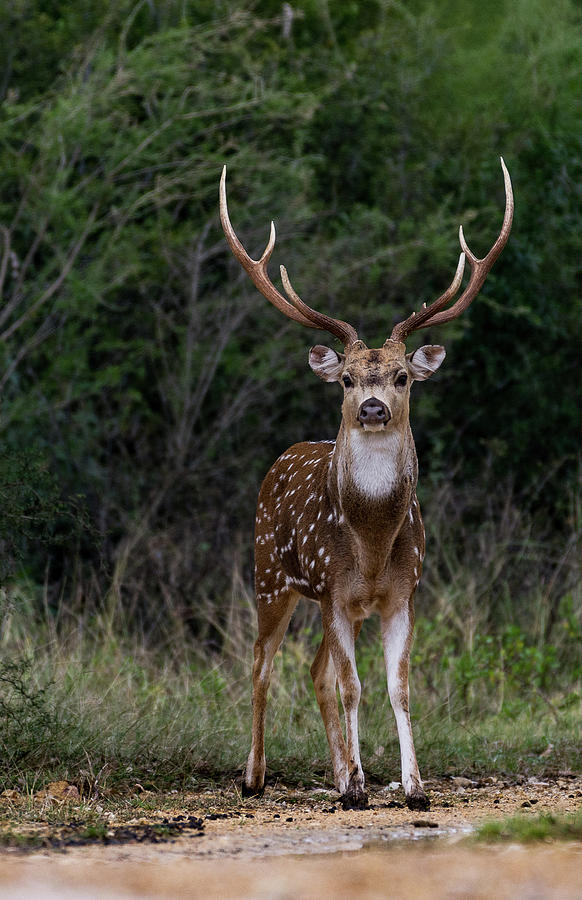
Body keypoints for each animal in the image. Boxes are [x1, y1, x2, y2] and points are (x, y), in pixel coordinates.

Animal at [220, 158, 516, 812]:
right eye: (348, 379)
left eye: (403, 375)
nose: (374, 408)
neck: (373, 543)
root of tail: (282, 458)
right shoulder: (334, 589)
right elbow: (354, 686)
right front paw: (360, 786)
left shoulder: (401, 593)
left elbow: (397, 685)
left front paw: (411, 787)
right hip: (271, 574)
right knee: (262, 664)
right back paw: (256, 776)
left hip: (333, 604)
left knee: (314, 671)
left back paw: (337, 772)